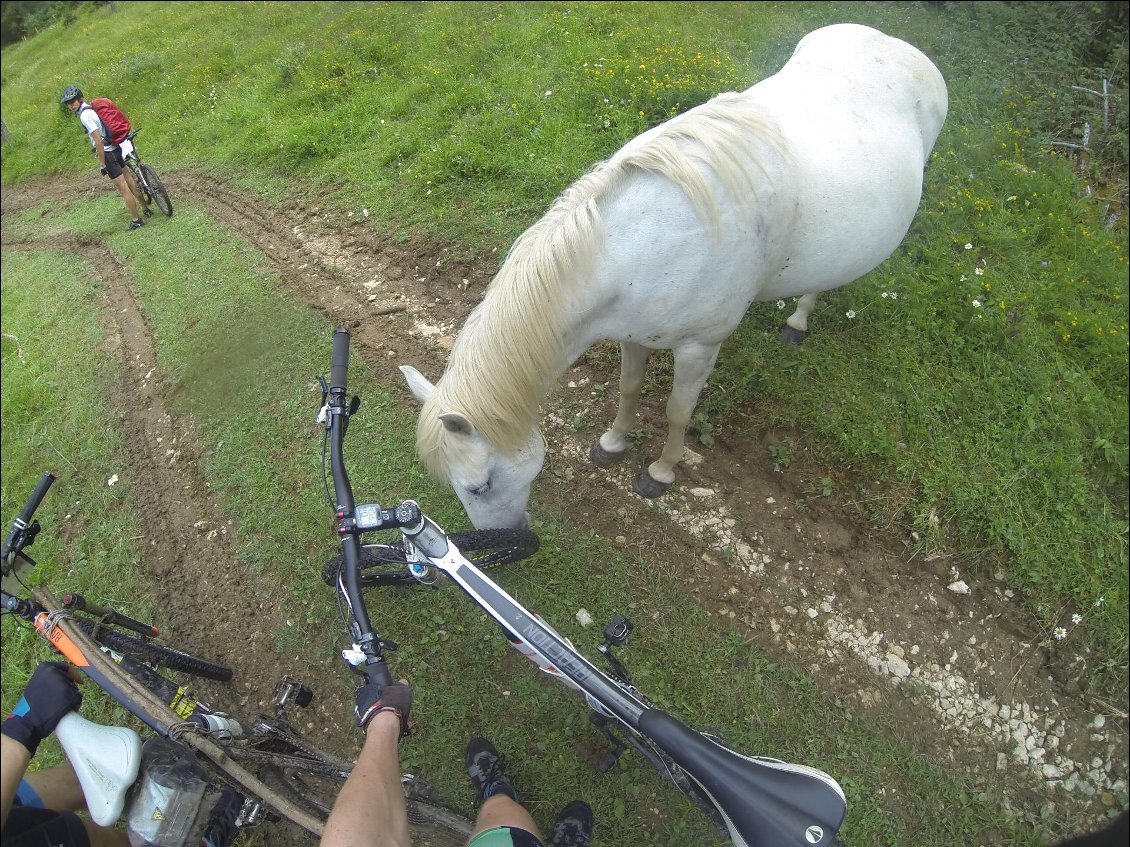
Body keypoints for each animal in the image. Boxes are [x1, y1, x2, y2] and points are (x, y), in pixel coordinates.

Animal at [402, 24, 949, 530]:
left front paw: (660, 472)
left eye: (479, 485)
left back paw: (797, 322)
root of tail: (896, 44)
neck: (645, 243)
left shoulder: (698, 347)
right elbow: (628, 389)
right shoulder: (632, 331)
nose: (507, 544)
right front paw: (612, 442)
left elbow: (676, 412)